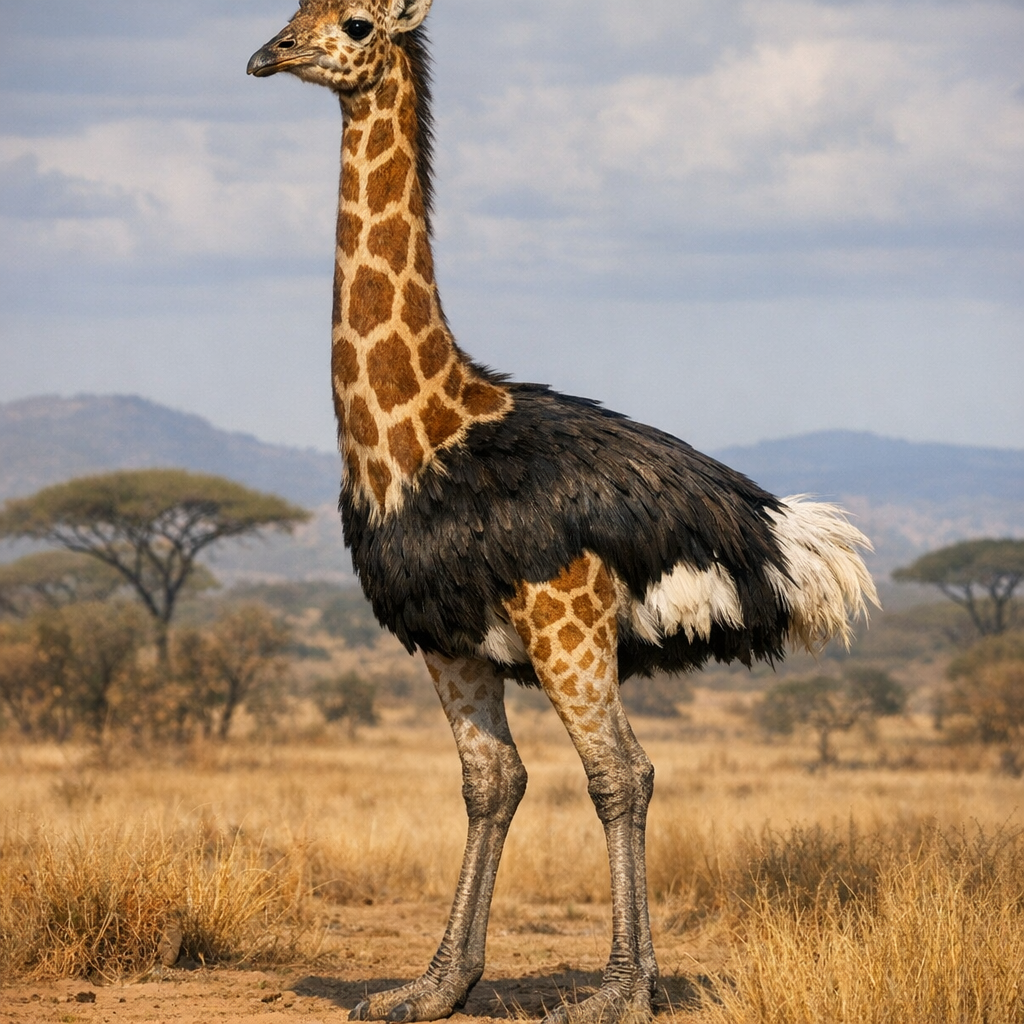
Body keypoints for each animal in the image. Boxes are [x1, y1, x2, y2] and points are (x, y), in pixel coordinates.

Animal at [248, 4, 878, 1022]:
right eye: (293, 16)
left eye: (354, 22)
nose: (270, 54)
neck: (424, 434)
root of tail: (776, 537)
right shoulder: (446, 637)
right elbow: (490, 782)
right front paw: (432, 986)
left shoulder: (548, 610)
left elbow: (597, 775)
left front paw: (608, 992)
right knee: (564, 774)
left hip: (573, 628)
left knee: (625, 771)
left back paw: (621, 989)